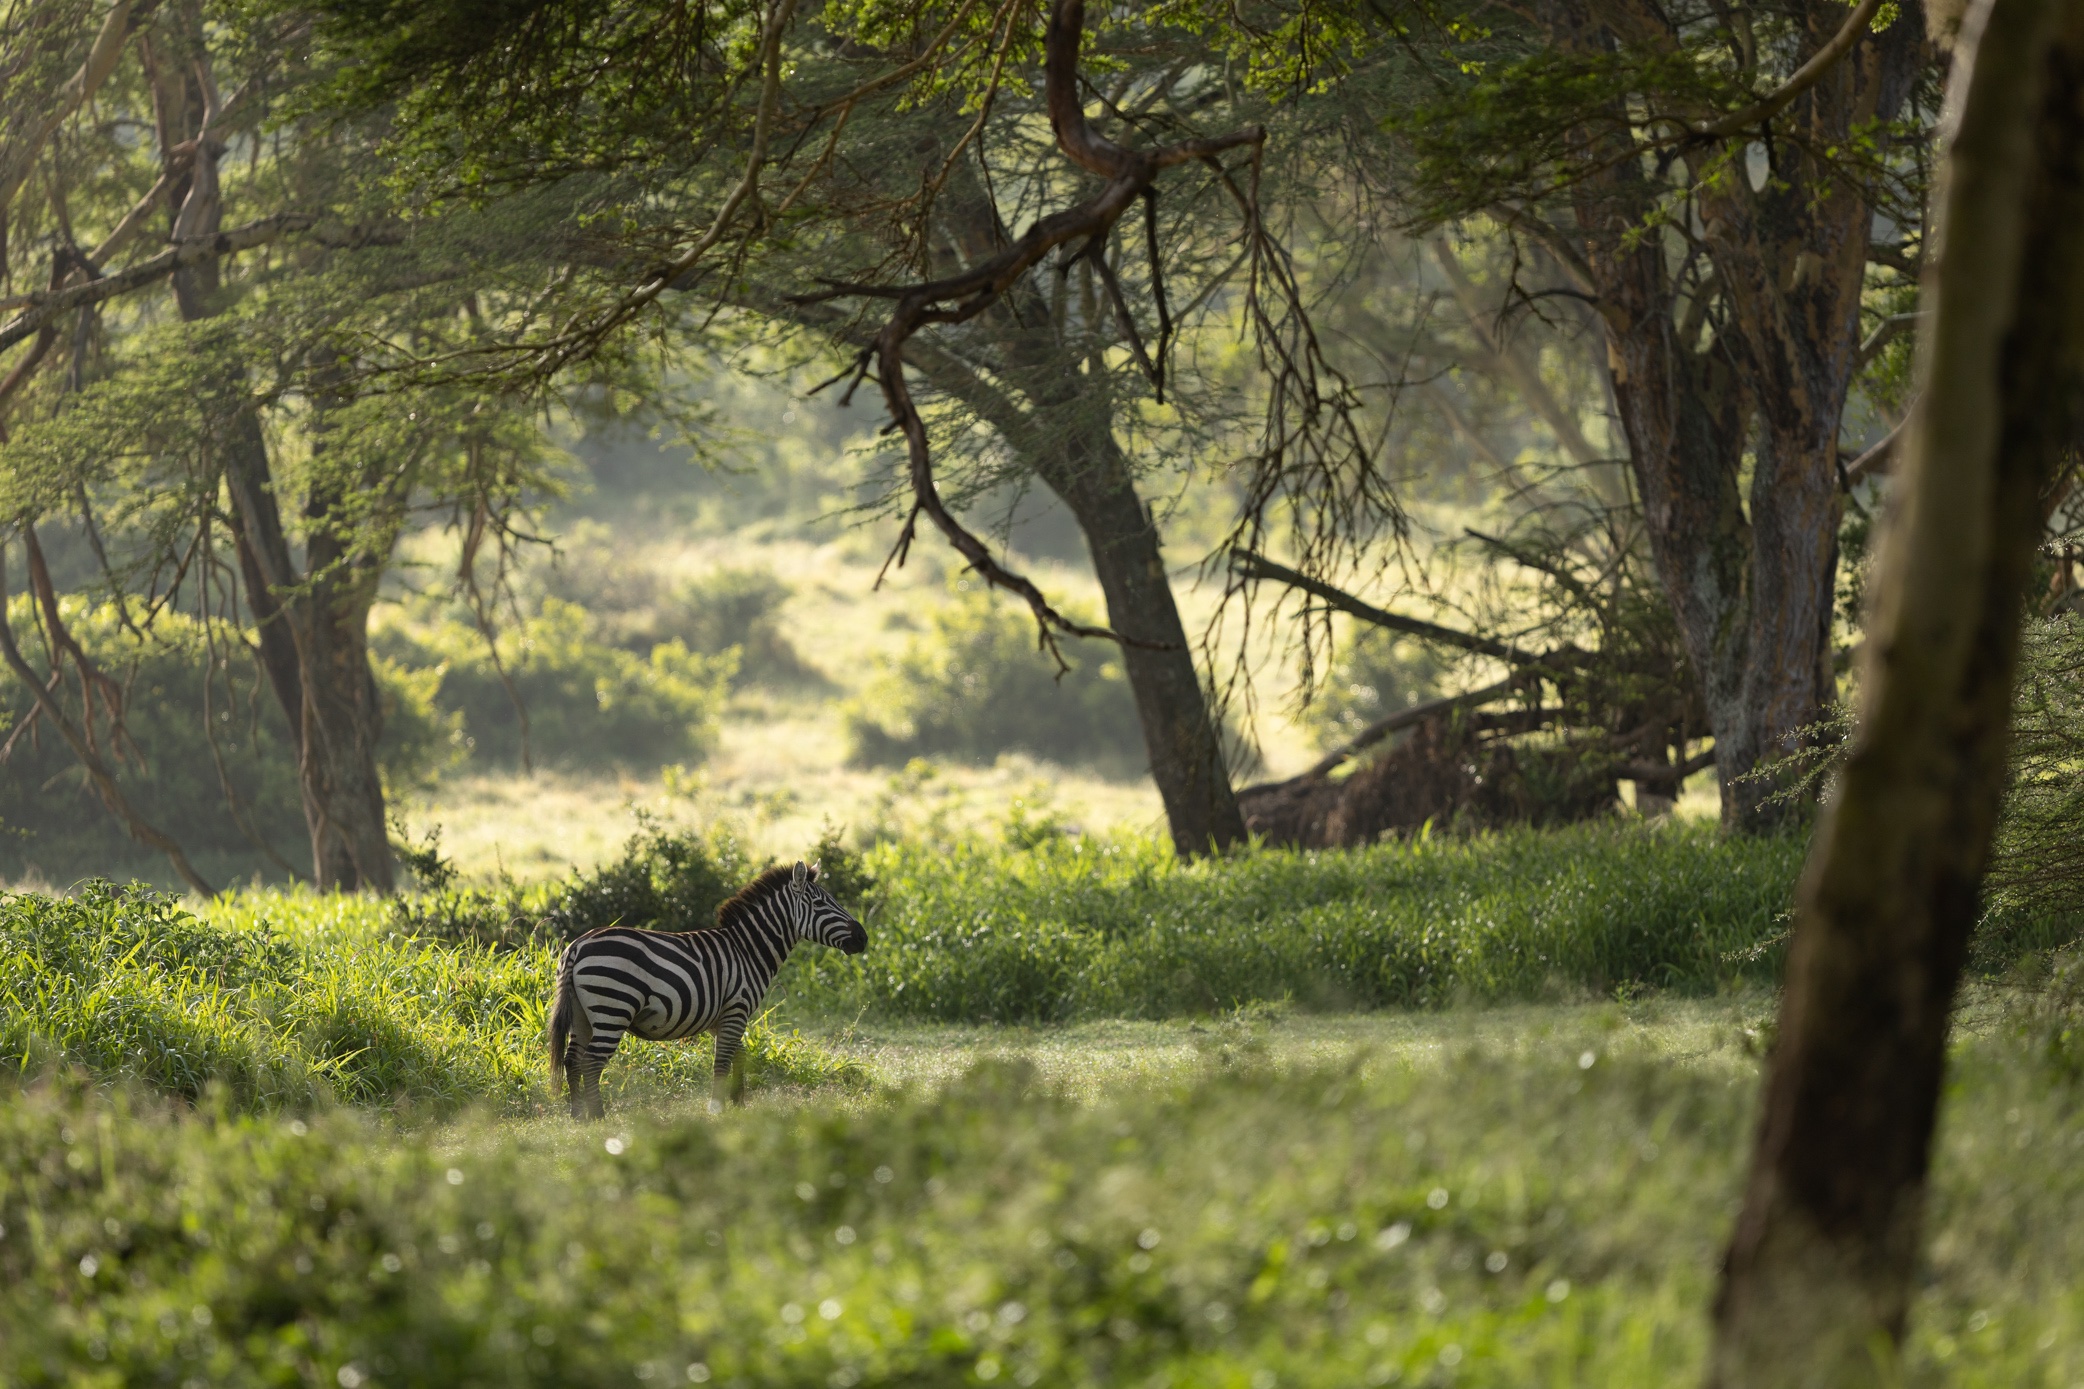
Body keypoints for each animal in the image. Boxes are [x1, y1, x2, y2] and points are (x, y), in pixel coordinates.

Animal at [546, 860, 867, 1118]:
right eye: (821, 904)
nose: (863, 938)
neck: (747, 949)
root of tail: (576, 947)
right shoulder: (736, 1009)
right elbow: (722, 1061)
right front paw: (717, 1108)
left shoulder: (719, 1017)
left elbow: (738, 1055)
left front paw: (738, 1103)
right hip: (613, 1007)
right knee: (591, 1062)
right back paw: (599, 1117)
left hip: (582, 1013)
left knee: (572, 1060)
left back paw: (577, 1116)